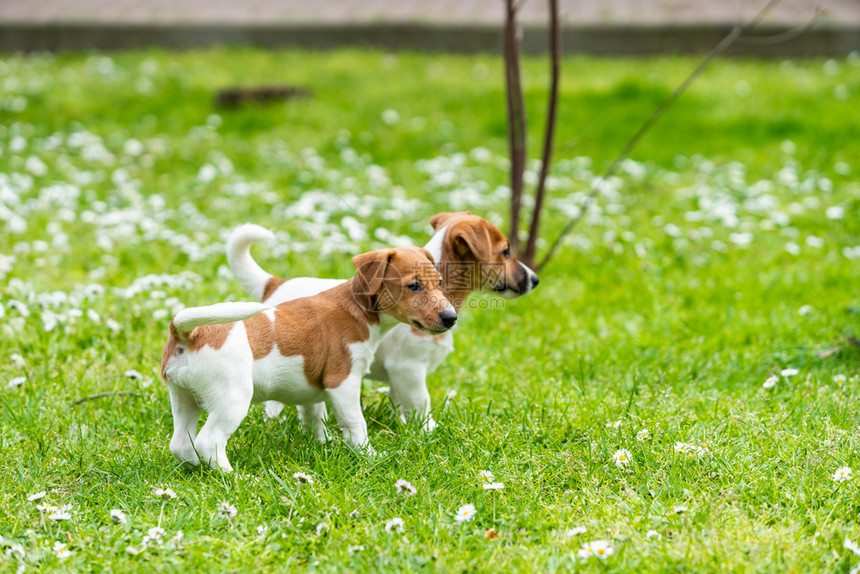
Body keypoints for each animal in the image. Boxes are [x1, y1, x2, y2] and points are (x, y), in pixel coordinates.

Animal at [162, 248, 456, 472]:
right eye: (414, 286)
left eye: (440, 283)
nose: (451, 318)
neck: (357, 308)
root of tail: (188, 333)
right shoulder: (344, 383)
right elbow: (356, 424)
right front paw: (369, 456)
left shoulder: (311, 391)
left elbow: (315, 418)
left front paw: (323, 445)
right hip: (232, 399)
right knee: (209, 441)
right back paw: (233, 476)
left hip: (183, 399)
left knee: (181, 443)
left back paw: (195, 467)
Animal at [228, 214, 536, 434]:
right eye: (506, 252)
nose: (535, 279)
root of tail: (274, 285)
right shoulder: (409, 368)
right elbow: (421, 403)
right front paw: (430, 432)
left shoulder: (401, 376)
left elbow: (404, 404)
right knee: (274, 403)